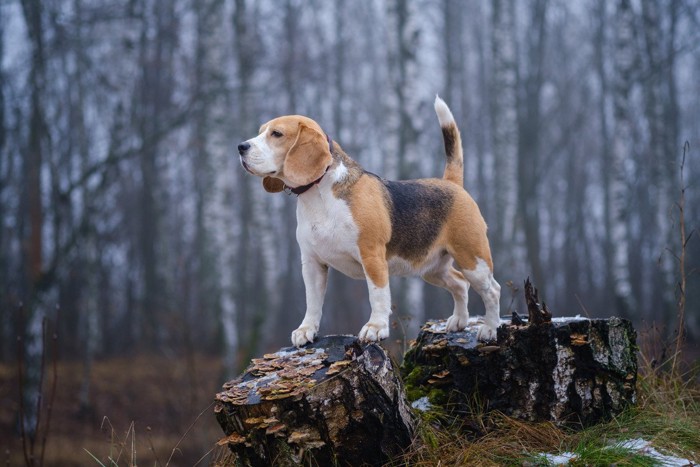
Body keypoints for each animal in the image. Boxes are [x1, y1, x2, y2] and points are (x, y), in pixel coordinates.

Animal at [238, 98, 500, 348]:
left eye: (277, 134)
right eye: (261, 131)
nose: (241, 147)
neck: (319, 195)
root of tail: (451, 183)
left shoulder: (371, 255)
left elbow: (378, 295)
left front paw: (376, 328)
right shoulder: (312, 263)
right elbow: (312, 301)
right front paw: (306, 330)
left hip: (473, 259)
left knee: (492, 291)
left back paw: (489, 329)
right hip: (433, 269)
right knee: (460, 284)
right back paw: (459, 321)